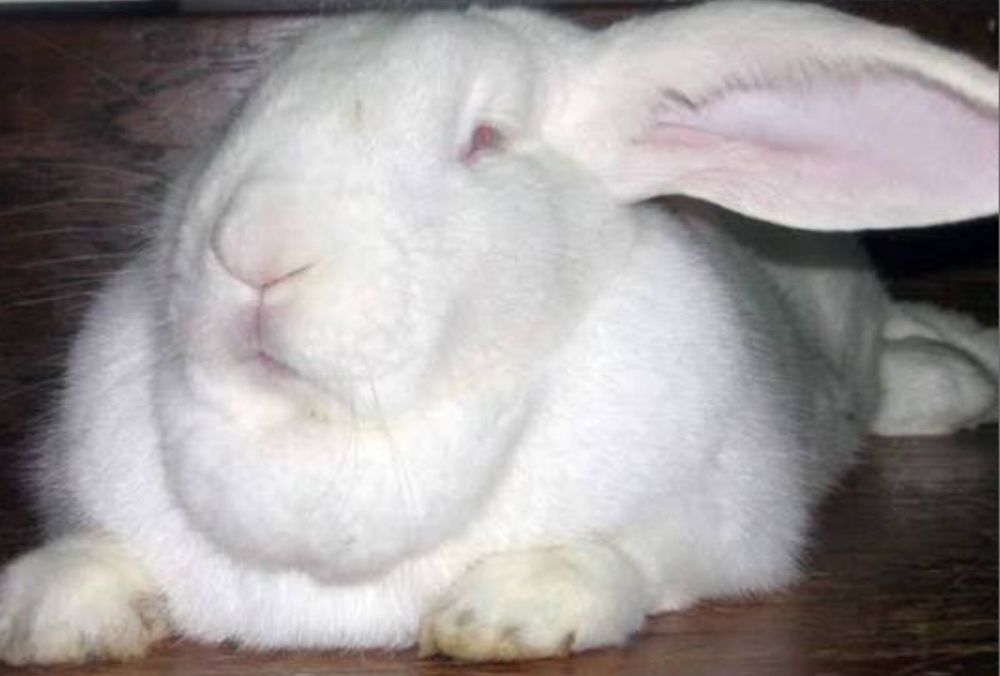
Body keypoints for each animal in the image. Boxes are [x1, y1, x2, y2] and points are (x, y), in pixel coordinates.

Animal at [0, 0, 997, 665]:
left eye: (484, 140)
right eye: (241, 113)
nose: (253, 249)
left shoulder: (720, 525)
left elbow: (627, 555)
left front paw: (508, 611)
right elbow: (98, 547)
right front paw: (44, 607)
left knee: (888, 357)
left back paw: (954, 378)